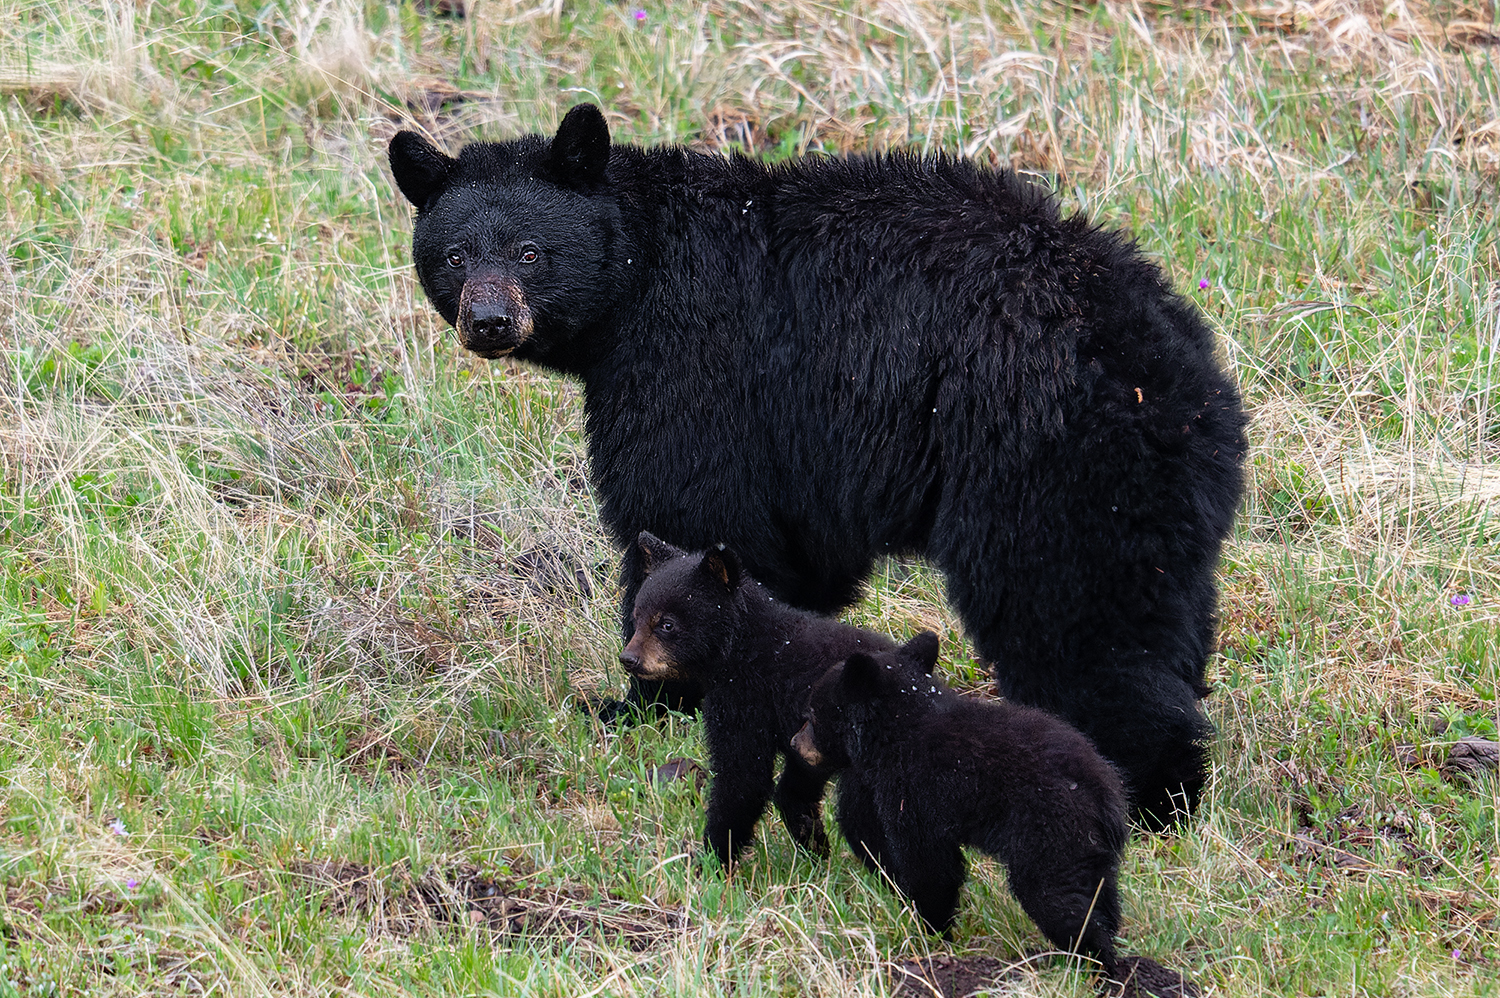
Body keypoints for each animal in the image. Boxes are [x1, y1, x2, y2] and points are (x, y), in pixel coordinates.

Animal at [387, 101, 1242, 822]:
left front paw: (642, 702)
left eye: (531, 251)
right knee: (1161, 614)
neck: (638, 278)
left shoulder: (693, 370)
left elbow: (686, 515)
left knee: (1072, 616)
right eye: (454, 254)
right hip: (1152, 503)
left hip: (1043, 466)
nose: (489, 321)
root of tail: (1174, 373)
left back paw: (1141, 789)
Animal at [615, 528, 930, 864]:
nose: (629, 659)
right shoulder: (801, 734)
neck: (742, 647)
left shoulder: (747, 699)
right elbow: (794, 784)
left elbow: (743, 776)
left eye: (666, 624)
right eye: (637, 616)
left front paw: (715, 856)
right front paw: (813, 842)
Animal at [798, 639, 1128, 972]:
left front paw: (932, 932)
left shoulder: (914, 793)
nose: (795, 743)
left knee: (1056, 898)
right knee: (1102, 894)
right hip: (1092, 847)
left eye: (812, 713)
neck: (900, 729)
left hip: (1050, 833)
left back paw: (1095, 960)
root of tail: (1101, 790)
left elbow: (930, 865)